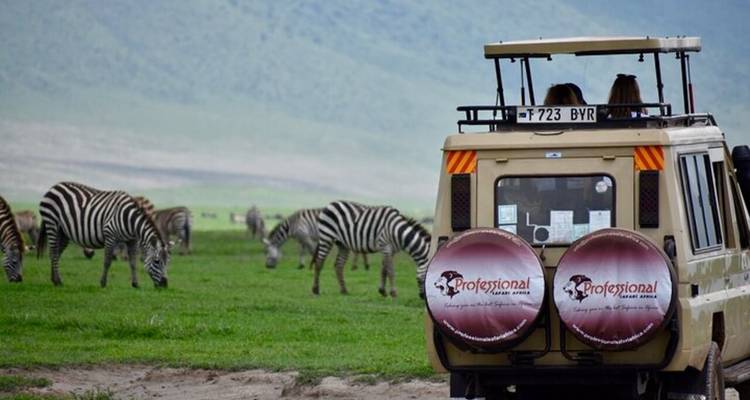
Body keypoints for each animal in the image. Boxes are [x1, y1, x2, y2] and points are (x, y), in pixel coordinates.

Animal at [37, 182, 169, 288]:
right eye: (157, 261)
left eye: (168, 261)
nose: (165, 285)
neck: (129, 220)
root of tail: (54, 186)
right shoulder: (110, 236)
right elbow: (107, 261)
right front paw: (103, 283)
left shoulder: (132, 241)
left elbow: (133, 262)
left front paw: (135, 284)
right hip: (52, 223)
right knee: (53, 252)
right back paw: (58, 281)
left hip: (63, 232)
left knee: (55, 253)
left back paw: (55, 279)